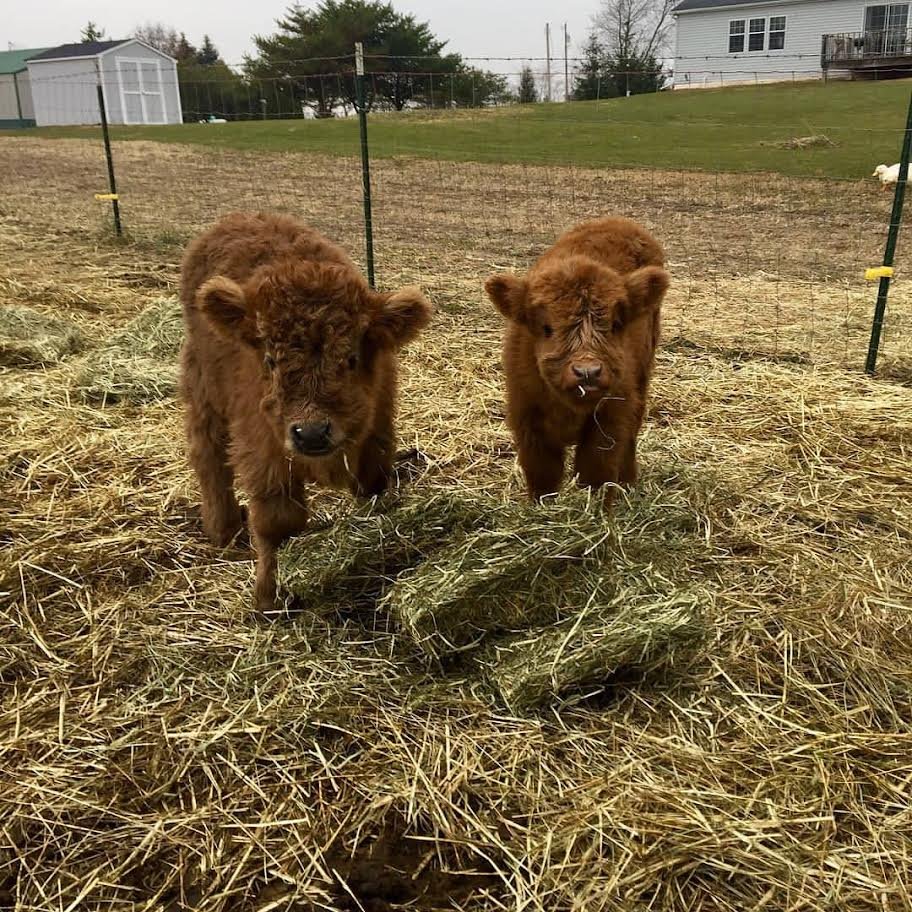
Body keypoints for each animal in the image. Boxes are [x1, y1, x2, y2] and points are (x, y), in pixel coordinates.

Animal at [180, 212, 432, 613]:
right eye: (270, 360)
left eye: (351, 359)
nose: (312, 433)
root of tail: (243, 216)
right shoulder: (264, 449)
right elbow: (277, 521)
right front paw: (269, 597)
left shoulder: (377, 433)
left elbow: (374, 491)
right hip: (204, 392)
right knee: (209, 458)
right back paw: (224, 529)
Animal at [484, 217, 669, 503]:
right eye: (547, 328)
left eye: (616, 325)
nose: (587, 372)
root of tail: (619, 221)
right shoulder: (527, 419)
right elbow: (542, 476)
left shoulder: (610, 418)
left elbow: (596, 473)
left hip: (642, 376)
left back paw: (628, 483)